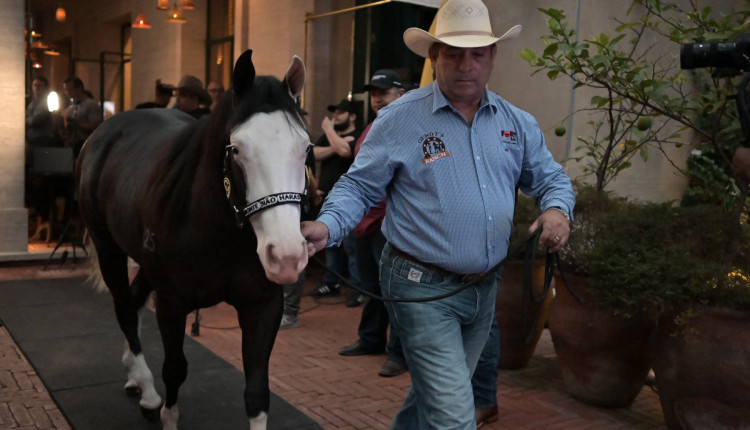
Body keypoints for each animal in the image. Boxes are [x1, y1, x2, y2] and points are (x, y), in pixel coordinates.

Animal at [77, 48, 312, 428]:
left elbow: (257, 392)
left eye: (305, 148)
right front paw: (164, 410)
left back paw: (134, 376)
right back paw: (147, 390)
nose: (287, 257)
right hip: (108, 247)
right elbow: (175, 371)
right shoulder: (171, 304)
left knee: (135, 300)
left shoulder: (263, 306)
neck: (219, 234)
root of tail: (102, 133)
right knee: (125, 308)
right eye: (237, 149)